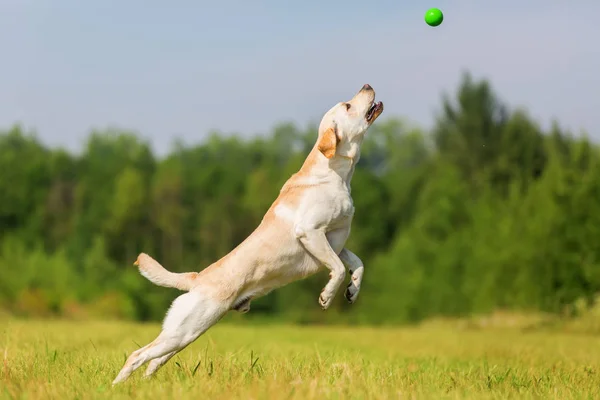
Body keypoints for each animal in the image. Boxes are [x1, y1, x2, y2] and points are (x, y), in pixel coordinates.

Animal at [112, 84, 384, 384]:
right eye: (347, 106)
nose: (367, 86)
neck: (336, 174)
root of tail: (197, 279)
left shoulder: (335, 239)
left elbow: (357, 263)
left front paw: (352, 290)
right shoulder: (310, 232)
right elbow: (336, 267)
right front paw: (327, 296)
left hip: (184, 335)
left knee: (153, 361)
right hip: (184, 330)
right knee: (137, 355)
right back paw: (116, 387)